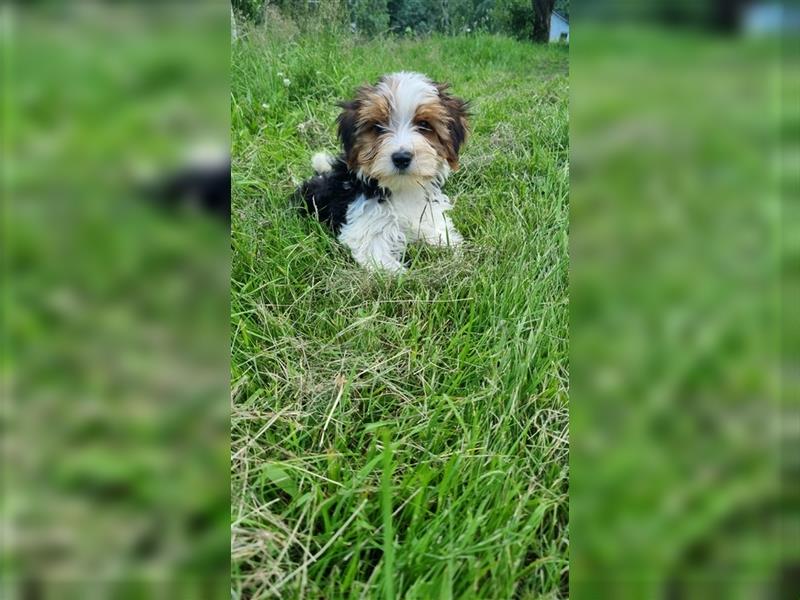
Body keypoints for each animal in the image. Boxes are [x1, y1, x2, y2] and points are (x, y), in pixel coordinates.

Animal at [298, 71, 468, 274]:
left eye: (424, 124)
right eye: (377, 127)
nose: (401, 158)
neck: (402, 188)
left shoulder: (428, 215)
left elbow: (443, 236)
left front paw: (452, 253)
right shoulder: (366, 227)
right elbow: (380, 260)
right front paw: (402, 275)